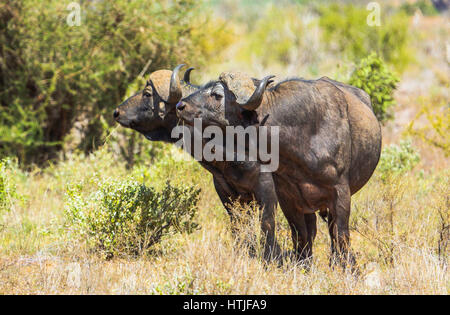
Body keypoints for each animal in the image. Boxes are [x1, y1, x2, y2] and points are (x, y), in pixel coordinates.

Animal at [178, 71, 382, 272]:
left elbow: (341, 234)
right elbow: (300, 234)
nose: (180, 105)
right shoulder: (287, 198)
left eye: (217, 95)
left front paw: (348, 268)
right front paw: (302, 266)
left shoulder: (340, 192)